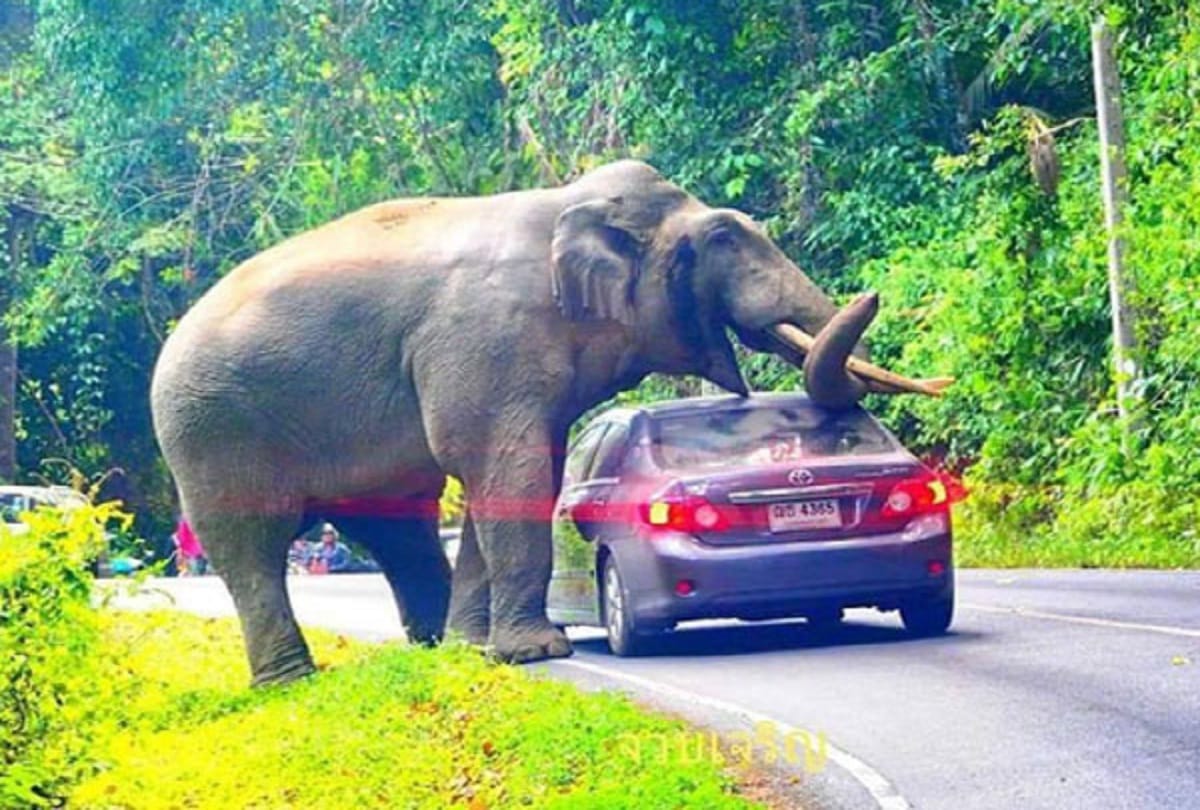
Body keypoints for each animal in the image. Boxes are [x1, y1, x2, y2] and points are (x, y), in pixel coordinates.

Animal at [150, 160, 945, 685]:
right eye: (719, 240)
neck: (565, 204)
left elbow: (510, 477)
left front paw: (487, 652)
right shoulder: (484, 340)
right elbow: (508, 468)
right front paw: (540, 653)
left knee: (396, 526)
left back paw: (437, 651)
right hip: (209, 428)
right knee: (250, 545)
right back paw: (292, 682)